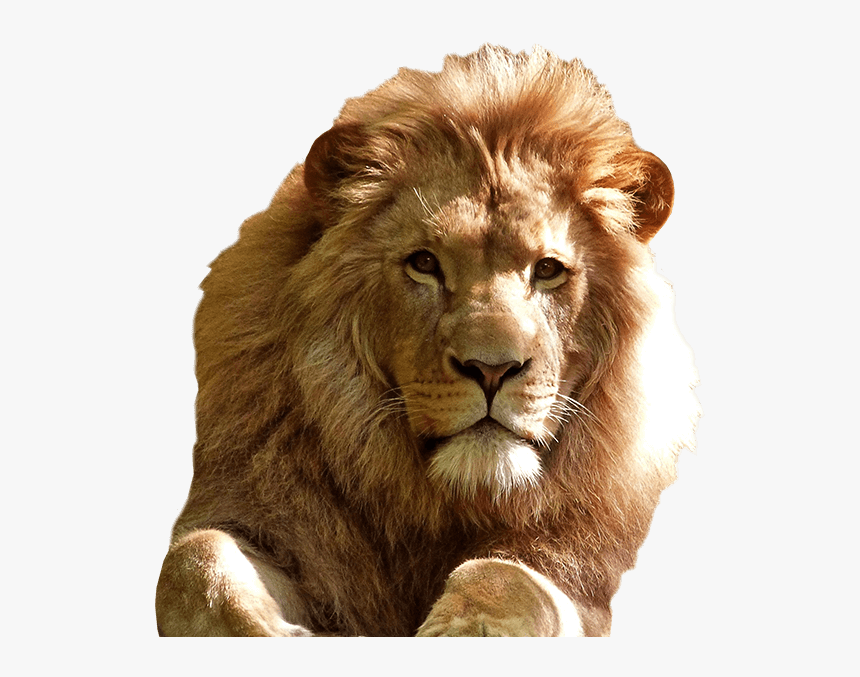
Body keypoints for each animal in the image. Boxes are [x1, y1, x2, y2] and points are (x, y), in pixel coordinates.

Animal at [155, 45, 699, 637]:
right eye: (424, 263)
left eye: (548, 270)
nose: (492, 369)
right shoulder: (270, 519)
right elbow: (193, 558)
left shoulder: (580, 581)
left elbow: (507, 578)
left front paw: (464, 628)